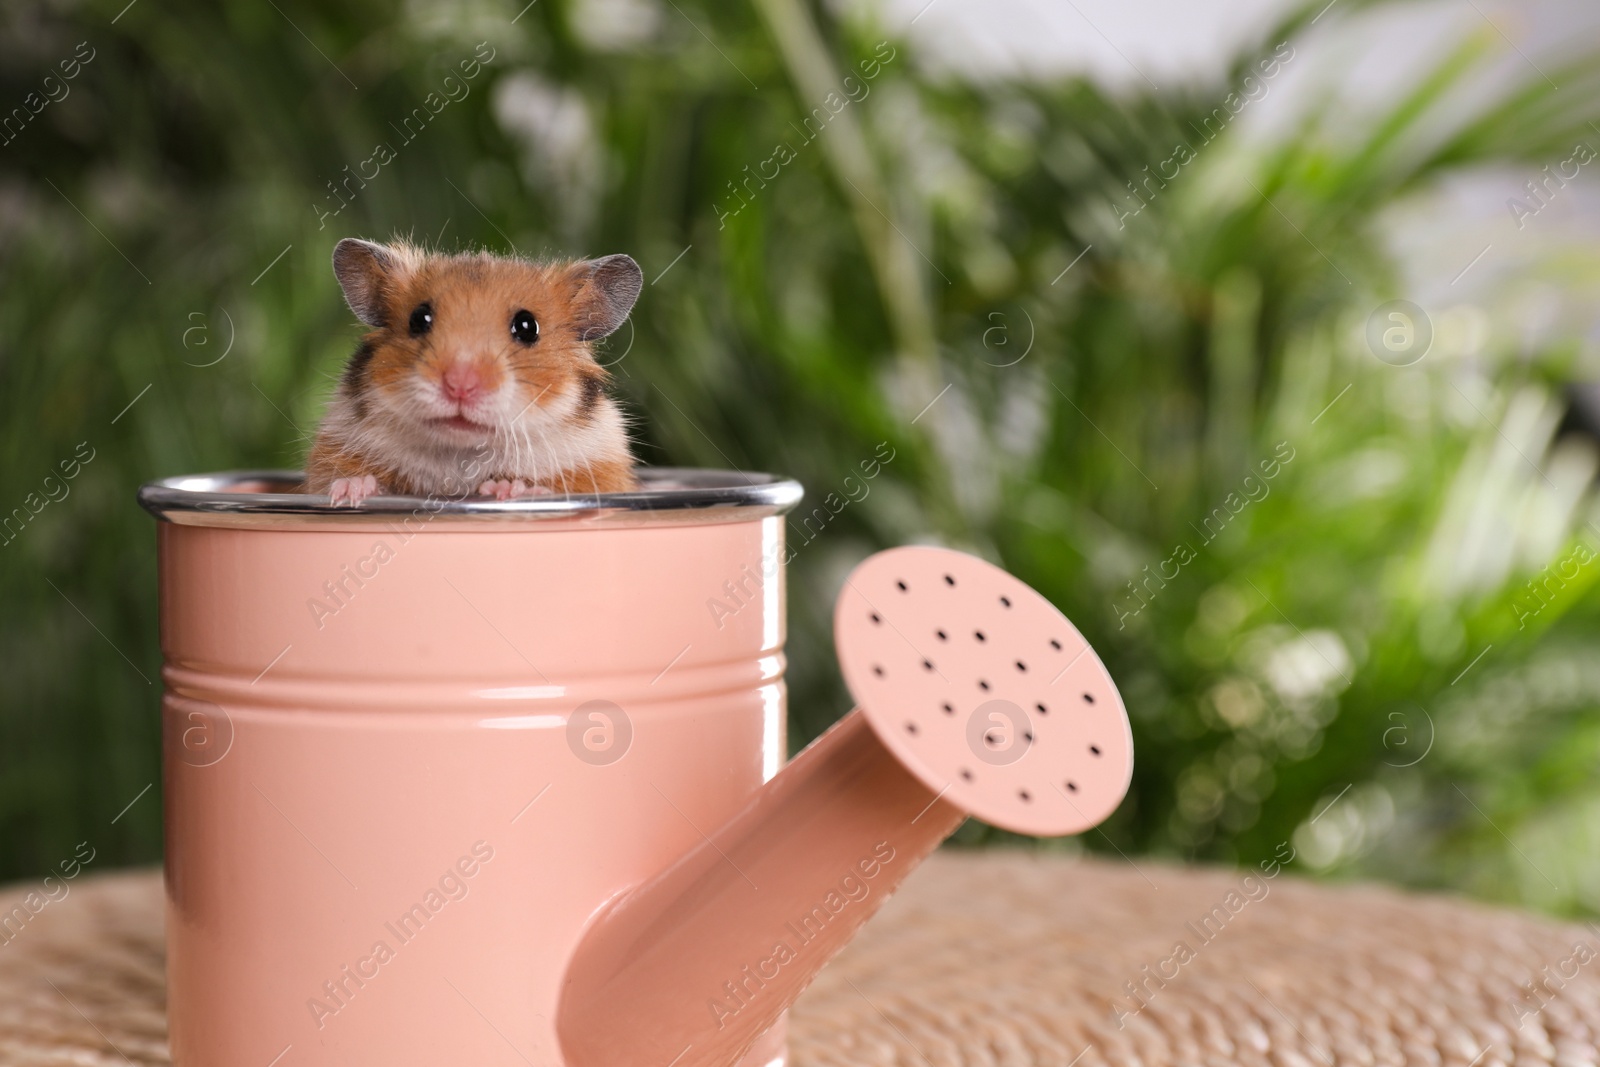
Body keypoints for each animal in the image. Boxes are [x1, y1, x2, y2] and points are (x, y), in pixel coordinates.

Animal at [302, 239, 640, 508]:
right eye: (419, 319)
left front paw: (510, 489)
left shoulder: (600, 469)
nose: (459, 386)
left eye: (527, 327)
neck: (463, 452)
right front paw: (348, 491)